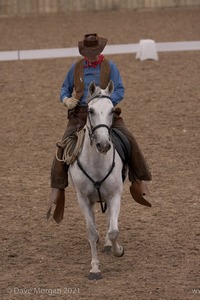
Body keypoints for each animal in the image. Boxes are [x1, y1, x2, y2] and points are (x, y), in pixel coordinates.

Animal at [69, 81, 124, 280]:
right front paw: (94, 268)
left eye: (112, 110)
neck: (96, 163)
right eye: (90, 110)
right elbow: (91, 233)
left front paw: (117, 250)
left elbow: (114, 231)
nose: (104, 145)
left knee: (109, 221)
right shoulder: (83, 199)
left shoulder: (114, 195)